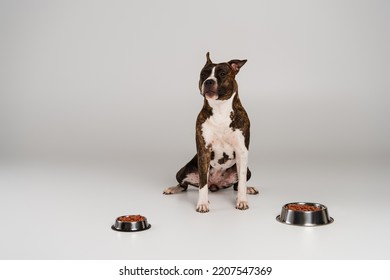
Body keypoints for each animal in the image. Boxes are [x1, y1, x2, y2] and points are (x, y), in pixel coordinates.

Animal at [163, 52, 258, 212]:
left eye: (222, 73)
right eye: (203, 74)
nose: (208, 81)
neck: (220, 109)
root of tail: (216, 184)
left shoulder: (242, 151)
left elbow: (241, 181)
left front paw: (242, 200)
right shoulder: (204, 150)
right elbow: (202, 183)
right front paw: (202, 203)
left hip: (247, 170)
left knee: (237, 184)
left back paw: (249, 189)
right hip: (183, 170)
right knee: (184, 184)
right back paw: (173, 188)